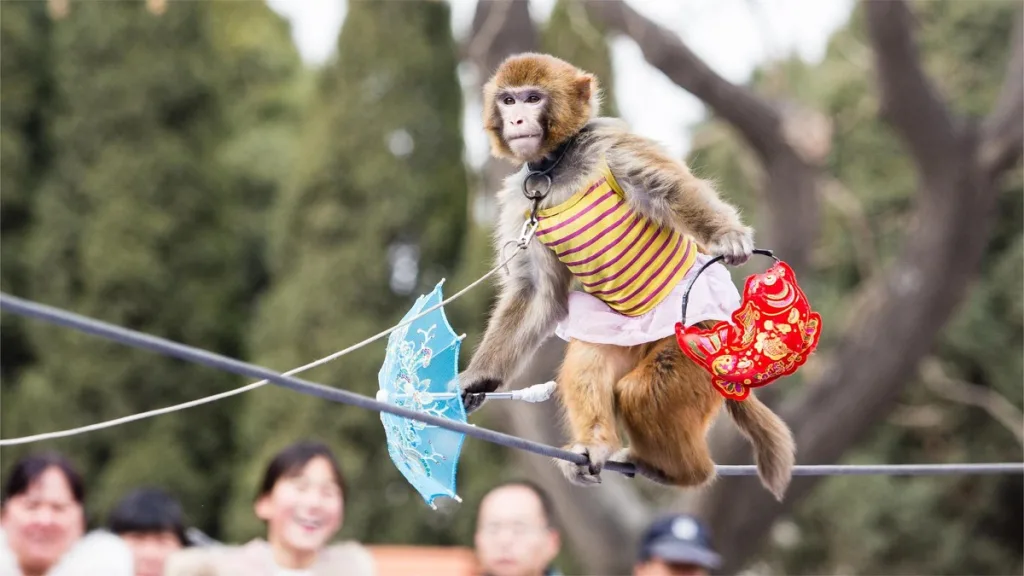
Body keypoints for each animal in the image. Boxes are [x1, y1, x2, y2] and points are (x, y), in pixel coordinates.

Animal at [458, 52, 798, 498]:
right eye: (508, 100)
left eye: (532, 98)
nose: (515, 119)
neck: (557, 165)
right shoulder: (520, 198)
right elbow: (536, 294)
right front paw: (478, 381)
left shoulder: (610, 144)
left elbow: (669, 190)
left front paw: (728, 236)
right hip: (621, 338)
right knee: (589, 359)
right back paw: (596, 445)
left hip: (699, 340)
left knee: (643, 392)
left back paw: (681, 472)